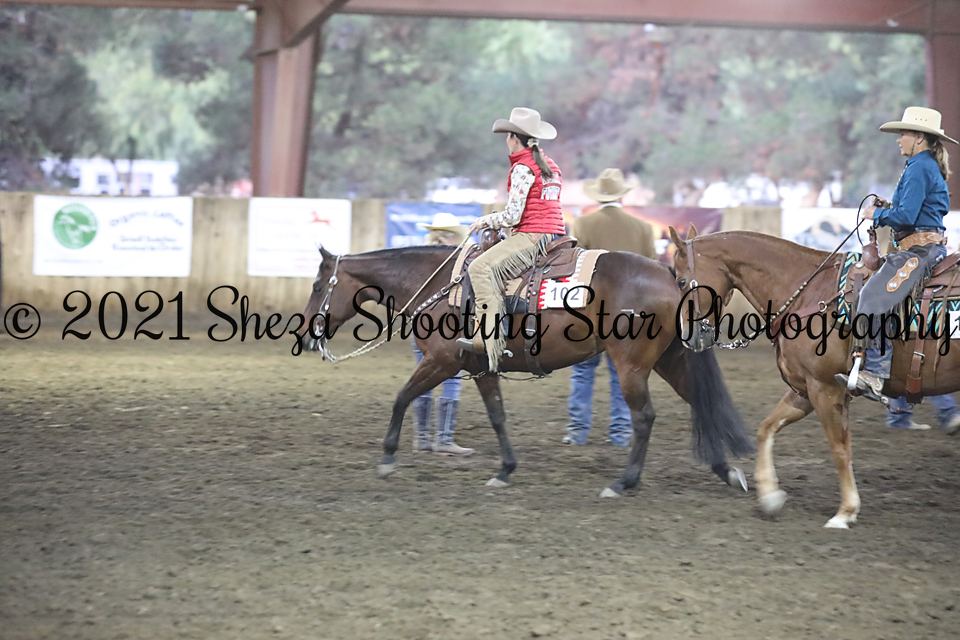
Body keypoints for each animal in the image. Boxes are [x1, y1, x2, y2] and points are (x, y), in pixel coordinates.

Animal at [300, 244, 754, 496]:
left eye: (318, 286)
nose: (305, 336)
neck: (441, 287)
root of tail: (669, 275)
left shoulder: (441, 361)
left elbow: (401, 398)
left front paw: (388, 458)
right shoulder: (482, 368)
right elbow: (497, 416)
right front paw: (505, 471)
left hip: (632, 365)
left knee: (644, 417)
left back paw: (622, 483)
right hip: (669, 359)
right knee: (701, 404)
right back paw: (729, 473)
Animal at [669, 226, 960, 528]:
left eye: (681, 281)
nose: (688, 337)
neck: (808, 293)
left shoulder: (825, 387)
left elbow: (840, 449)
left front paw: (845, 512)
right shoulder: (805, 390)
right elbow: (766, 428)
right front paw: (770, 496)